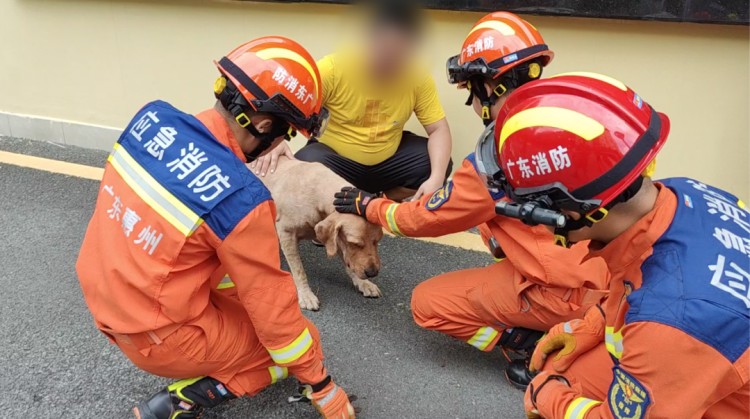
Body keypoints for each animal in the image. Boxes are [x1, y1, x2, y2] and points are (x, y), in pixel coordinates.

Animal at [260, 158, 388, 312]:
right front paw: (306, 294)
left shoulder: (336, 239)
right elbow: (299, 270)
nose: (372, 273)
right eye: (355, 243)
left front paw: (364, 283)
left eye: (377, 241)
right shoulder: (286, 233)